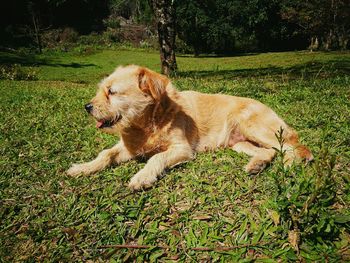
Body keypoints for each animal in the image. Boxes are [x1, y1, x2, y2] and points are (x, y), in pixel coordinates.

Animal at [67, 65, 314, 191]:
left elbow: (156, 157)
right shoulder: (129, 146)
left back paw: (289, 164)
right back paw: (257, 164)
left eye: (112, 92)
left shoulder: (182, 149)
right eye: (102, 90)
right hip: (239, 143)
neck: (147, 125)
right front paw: (83, 168)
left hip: (254, 126)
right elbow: (105, 154)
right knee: (270, 151)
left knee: (294, 148)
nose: (87, 107)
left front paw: (142, 176)